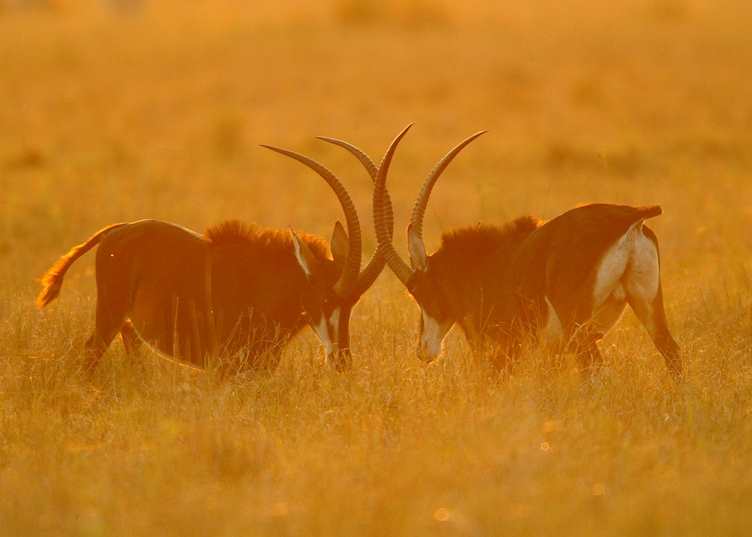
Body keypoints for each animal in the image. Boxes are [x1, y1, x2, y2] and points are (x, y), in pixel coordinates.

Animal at [36, 137, 392, 373]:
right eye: (326, 299)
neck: (270, 283)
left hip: (129, 326)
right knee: (91, 352)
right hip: (109, 314)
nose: (342, 360)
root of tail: (118, 231)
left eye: (352, 303)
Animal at [372, 126, 682, 378]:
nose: (423, 351)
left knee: (594, 368)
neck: (482, 263)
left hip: (577, 326)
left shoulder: (501, 345)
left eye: (419, 291)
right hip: (645, 302)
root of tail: (630, 216)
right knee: (671, 352)